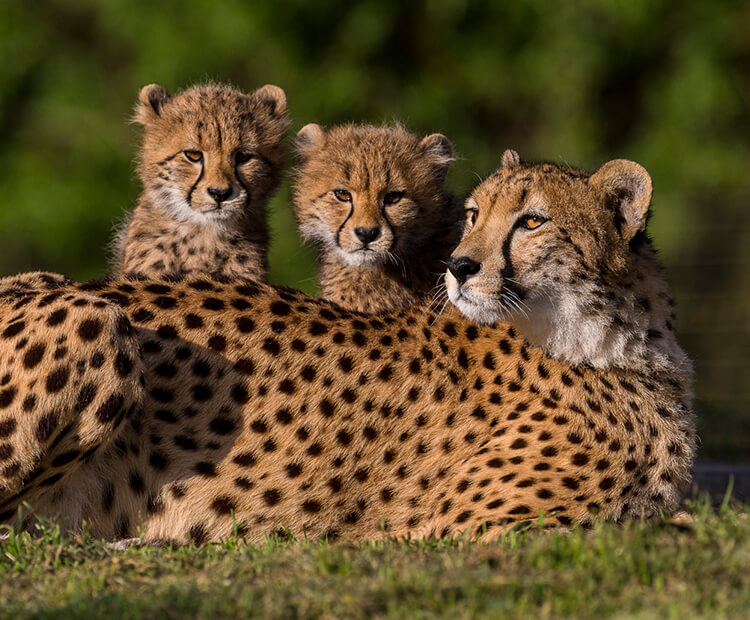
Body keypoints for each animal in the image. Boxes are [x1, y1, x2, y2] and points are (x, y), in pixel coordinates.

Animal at [0, 156, 696, 544]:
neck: (612, 340)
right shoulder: (459, 530)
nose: (459, 267)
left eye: (533, 221)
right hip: (95, 317)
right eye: (474, 214)